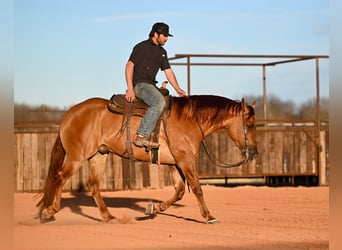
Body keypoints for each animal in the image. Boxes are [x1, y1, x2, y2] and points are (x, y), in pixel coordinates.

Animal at [36, 94, 258, 224]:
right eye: (250, 125)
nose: (255, 152)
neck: (190, 119)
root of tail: (70, 113)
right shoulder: (185, 160)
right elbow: (196, 187)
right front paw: (209, 216)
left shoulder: (175, 163)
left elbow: (179, 192)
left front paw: (152, 209)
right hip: (77, 156)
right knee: (59, 177)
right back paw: (50, 212)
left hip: (98, 155)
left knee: (93, 185)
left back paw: (108, 216)